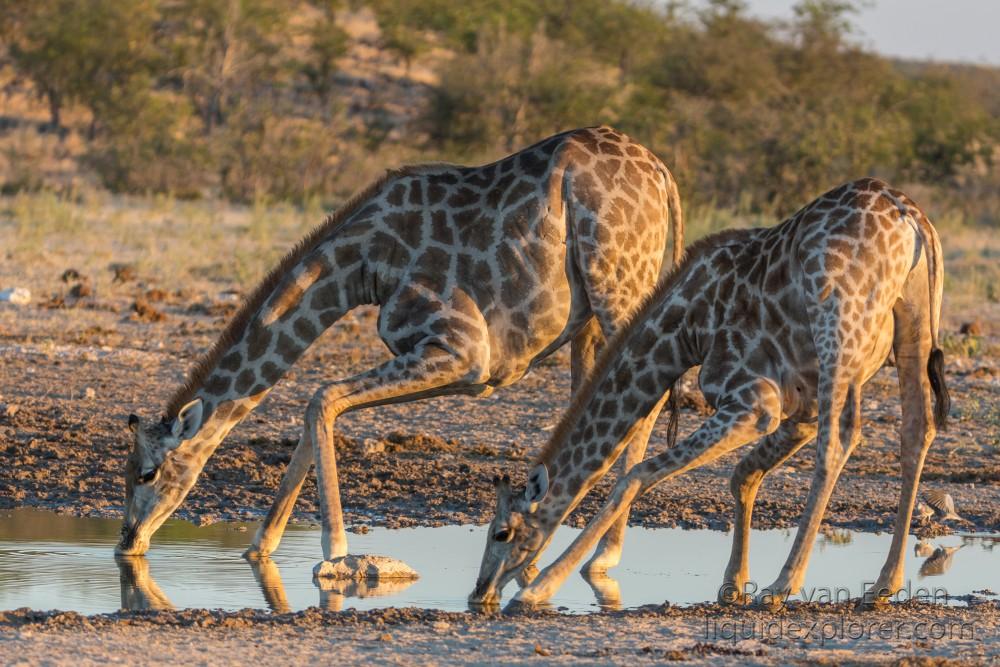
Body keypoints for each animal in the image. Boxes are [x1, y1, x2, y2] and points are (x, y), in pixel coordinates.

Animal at [113, 128, 684, 572]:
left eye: (147, 473)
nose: (126, 542)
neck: (364, 262)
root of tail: (663, 174)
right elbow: (318, 408)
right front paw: (260, 548)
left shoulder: (463, 352)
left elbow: (321, 397)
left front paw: (335, 550)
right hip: (590, 313)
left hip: (619, 284)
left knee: (646, 399)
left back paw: (604, 555)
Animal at [472, 177, 948, 612]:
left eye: (502, 532)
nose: (480, 592)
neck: (684, 330)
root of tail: (912, 217)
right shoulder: (799, 407)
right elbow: (742, 476)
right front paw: (732, 584)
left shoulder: (755, 403)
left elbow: (635, 475)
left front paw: (540, 588)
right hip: (913, 324)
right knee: (916, 430)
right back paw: (883, 584)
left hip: (840, 331)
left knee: (841, 439)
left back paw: (782, 586)